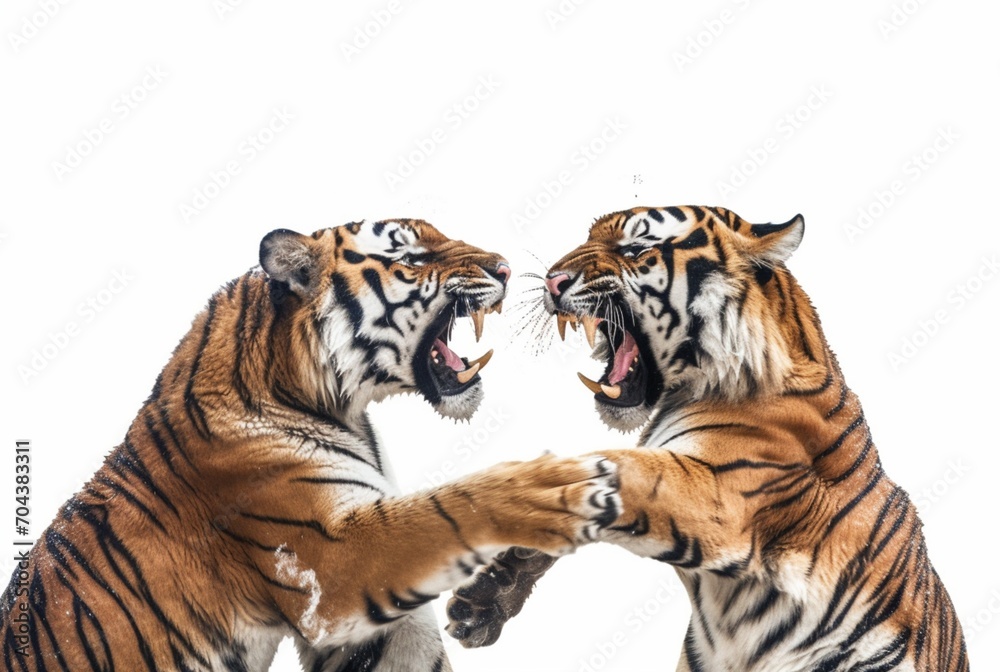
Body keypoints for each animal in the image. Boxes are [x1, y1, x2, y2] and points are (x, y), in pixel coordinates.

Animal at [0, 219, 621, 672]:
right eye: (414, 256)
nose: (506, 268)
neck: (335, 403)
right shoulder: (331, 561)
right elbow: (449, 506)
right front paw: (556, 482)